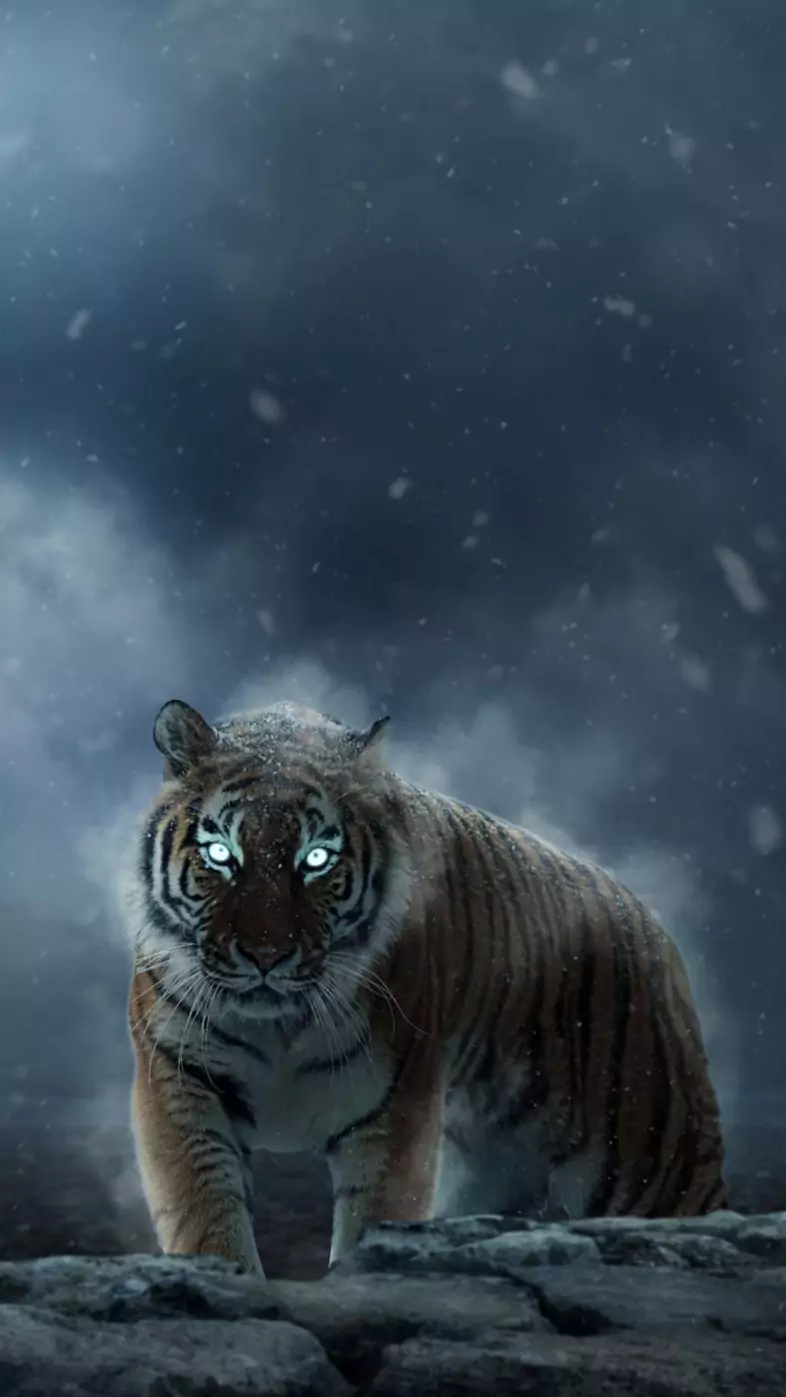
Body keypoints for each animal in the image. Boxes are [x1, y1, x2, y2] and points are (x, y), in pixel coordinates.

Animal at [126, 696, 728, 1277]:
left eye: (316, 859)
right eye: (220, 855)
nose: (266, 956)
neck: (280, 1025)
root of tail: (647, 918)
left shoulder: (393, 1109)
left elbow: (375, 1219)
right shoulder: (179, 1081)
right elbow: (205, 1214)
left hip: (654, 1155)